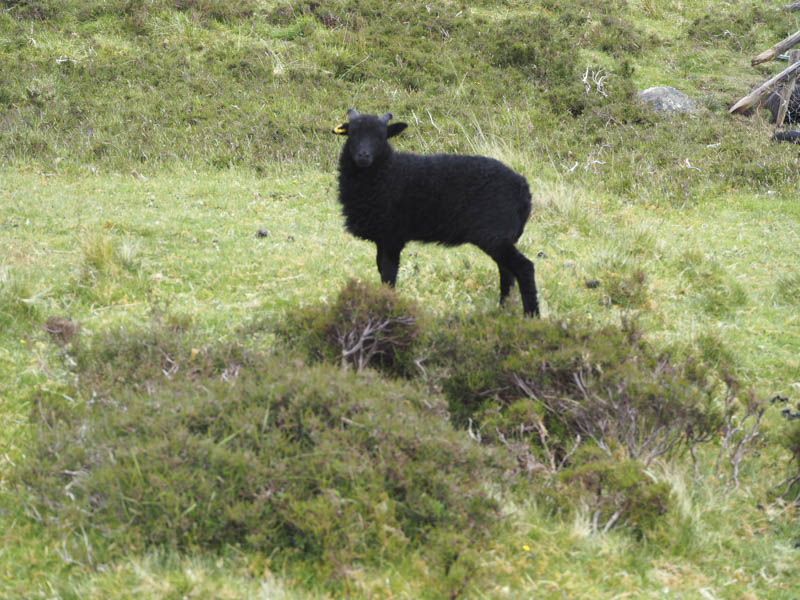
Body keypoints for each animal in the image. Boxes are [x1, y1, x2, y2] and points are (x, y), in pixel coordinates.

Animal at [328, 109, 540, 316]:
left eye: (381, 136)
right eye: (352, 133)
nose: (363, 156)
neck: (389, 173)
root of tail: (523, 189)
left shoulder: (392, 237)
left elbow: (389, 276)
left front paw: (387, 306)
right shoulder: (383, 237)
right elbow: (382, 271)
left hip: (494, 234)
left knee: (524, 268)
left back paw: (531, 316)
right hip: (499, 237)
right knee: (507, 273)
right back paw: (503, 311)